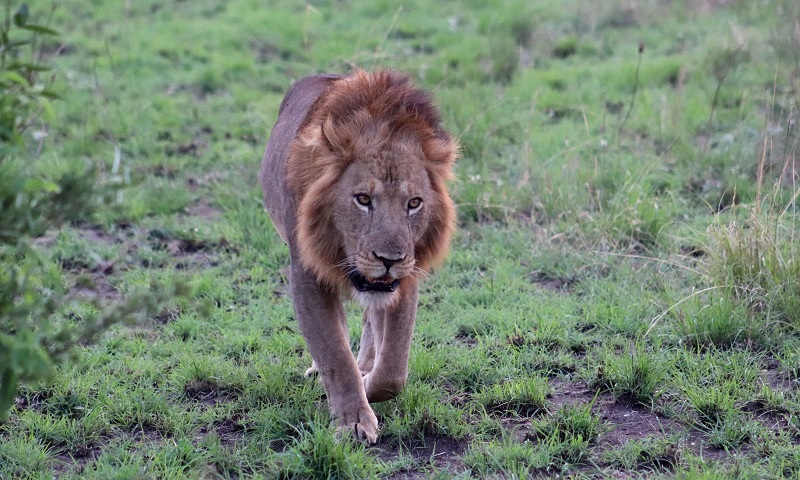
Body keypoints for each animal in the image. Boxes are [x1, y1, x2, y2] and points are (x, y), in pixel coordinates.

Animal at [258, 70, 456, 442]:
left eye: (414, 203)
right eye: (362, 199)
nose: (389, 258)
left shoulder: (405, 277)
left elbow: (393, 366)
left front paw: (367, 383)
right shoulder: (307, 275)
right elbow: (334, 352)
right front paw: (353, 421)